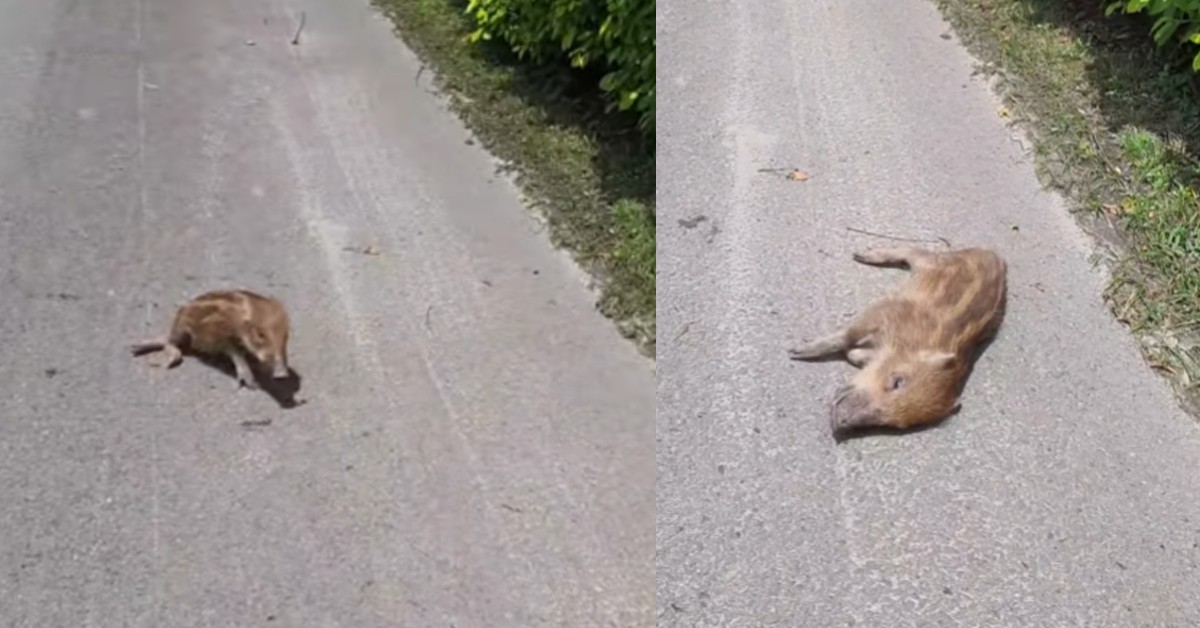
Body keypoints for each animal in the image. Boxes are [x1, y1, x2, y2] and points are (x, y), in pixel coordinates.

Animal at [788, 246, 1007, 437]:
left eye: (898, 424)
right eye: (897, 381)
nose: (838, 421)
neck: (917, 342)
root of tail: (990, 252)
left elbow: (854, 352)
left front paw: (852, 353)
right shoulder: (884, 311)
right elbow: (847, 335)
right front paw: (796, 351)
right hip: (929, 261)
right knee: (912, 251)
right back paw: (862, 254)